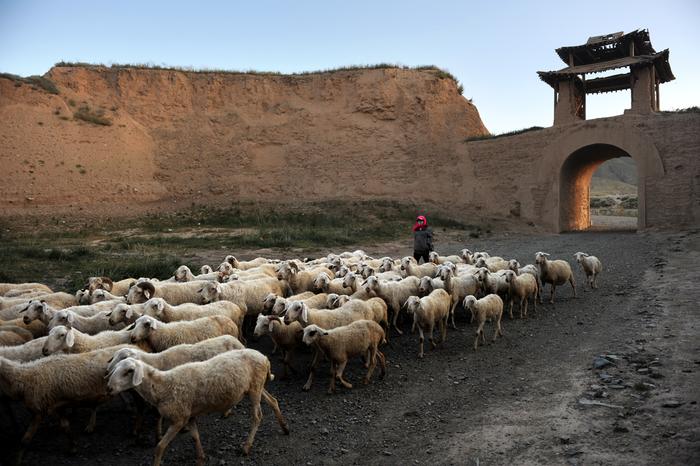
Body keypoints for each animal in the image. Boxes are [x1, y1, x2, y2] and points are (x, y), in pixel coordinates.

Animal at [104, 348, 290, 460]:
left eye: (129, 371)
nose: (109, 387)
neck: (162, 386)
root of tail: (264, 357)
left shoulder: (178, 419)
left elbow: (159, 448)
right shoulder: (189, 415)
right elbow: (195, 437)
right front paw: (201, 458)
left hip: (255, 389)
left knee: (257, 416)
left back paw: (246, 447)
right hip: (256, 386)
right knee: (273, 401)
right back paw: (284, 427)